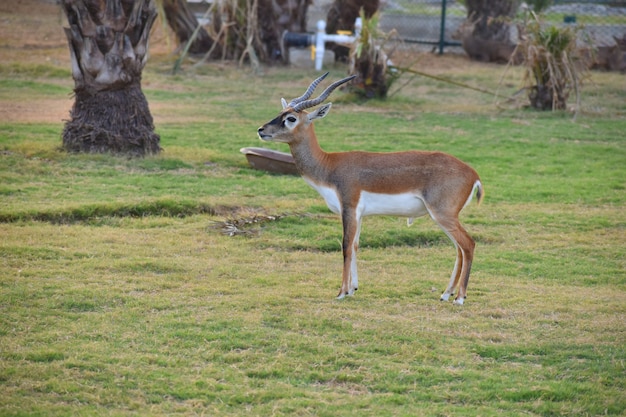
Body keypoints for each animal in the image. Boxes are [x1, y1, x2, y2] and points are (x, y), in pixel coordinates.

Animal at [256, 73, 480, 304]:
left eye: (291, 119)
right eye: (280, 113)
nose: (261, 130)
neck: (328, 165)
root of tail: (473, 173)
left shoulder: (349, 208)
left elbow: (346, 245)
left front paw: (341, 292)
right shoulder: (359, 214)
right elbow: (355, 245)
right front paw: (353, 288)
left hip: (442, 214)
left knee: (468, 244)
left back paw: (459, 298)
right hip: (444, 218)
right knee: (459, 249)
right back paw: (446, 294)